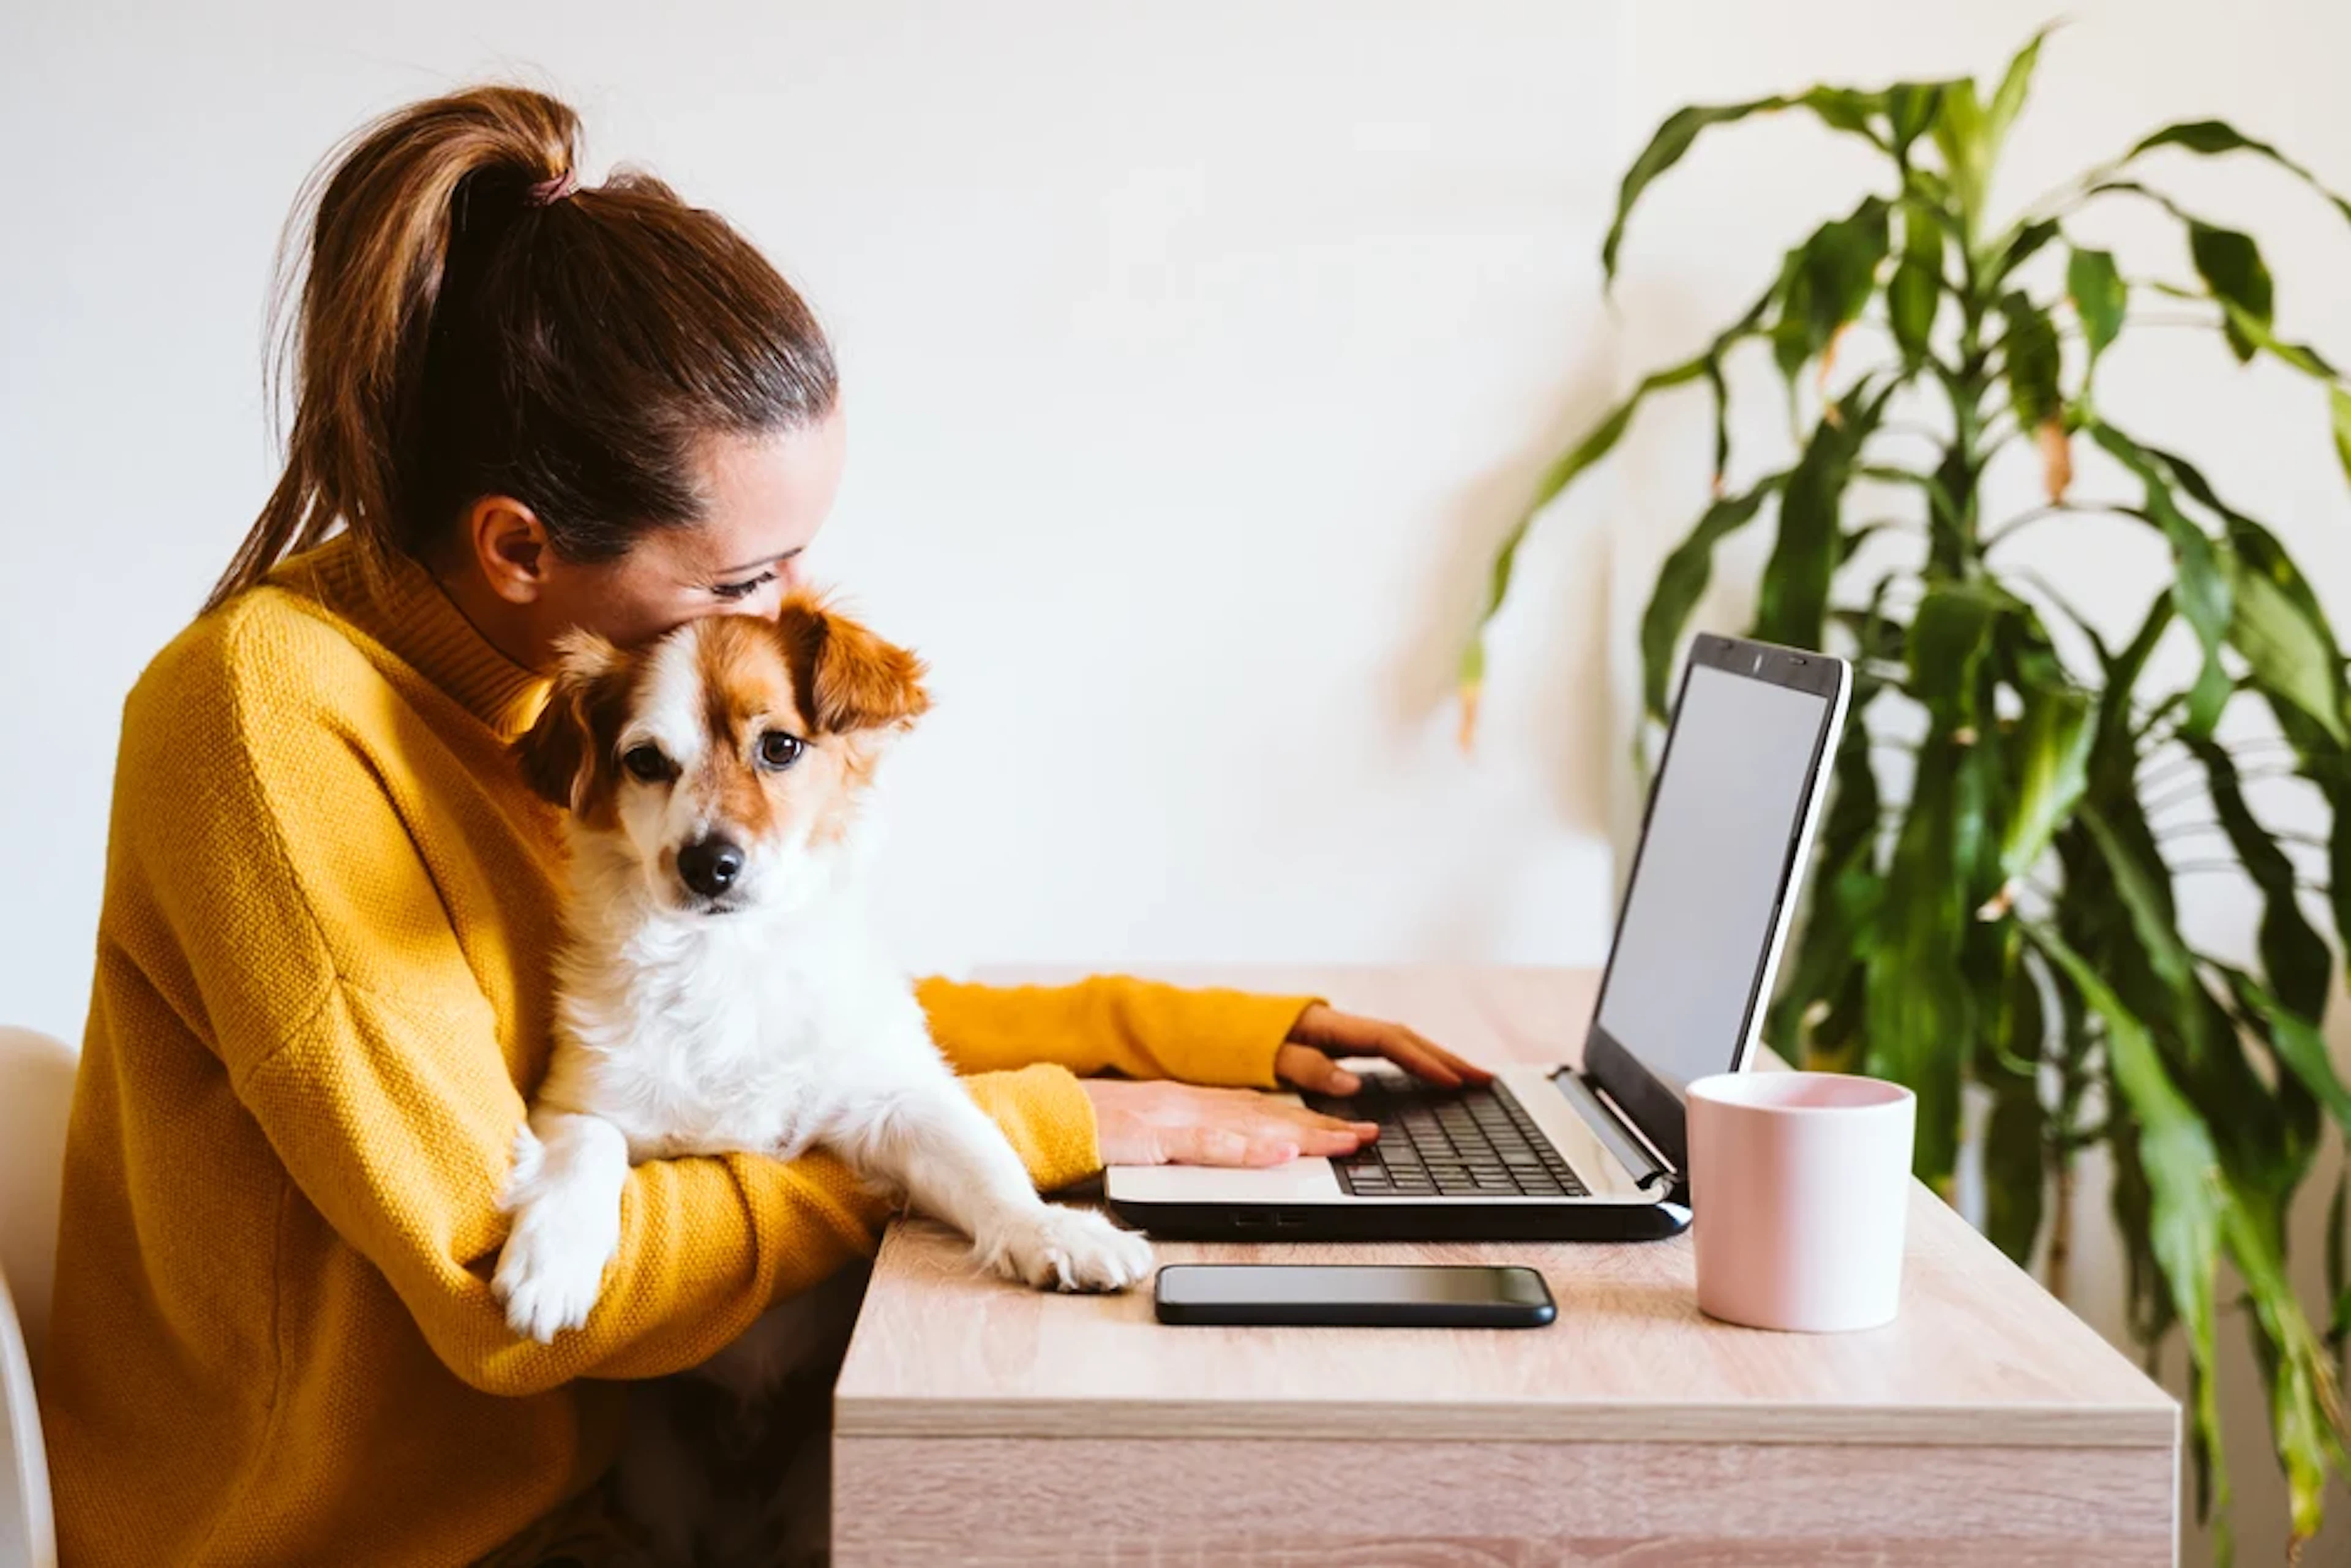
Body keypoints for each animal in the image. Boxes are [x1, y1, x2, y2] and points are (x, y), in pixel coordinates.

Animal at [491, 601, 1152, 1354]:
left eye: (780, 746)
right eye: (645, 760)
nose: (708, 864)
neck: (729, 960)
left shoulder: (894, 1100)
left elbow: (984, 1162)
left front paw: (1052, 1229)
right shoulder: (575, 1100)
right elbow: (584, 1148)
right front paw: (553, 1259)